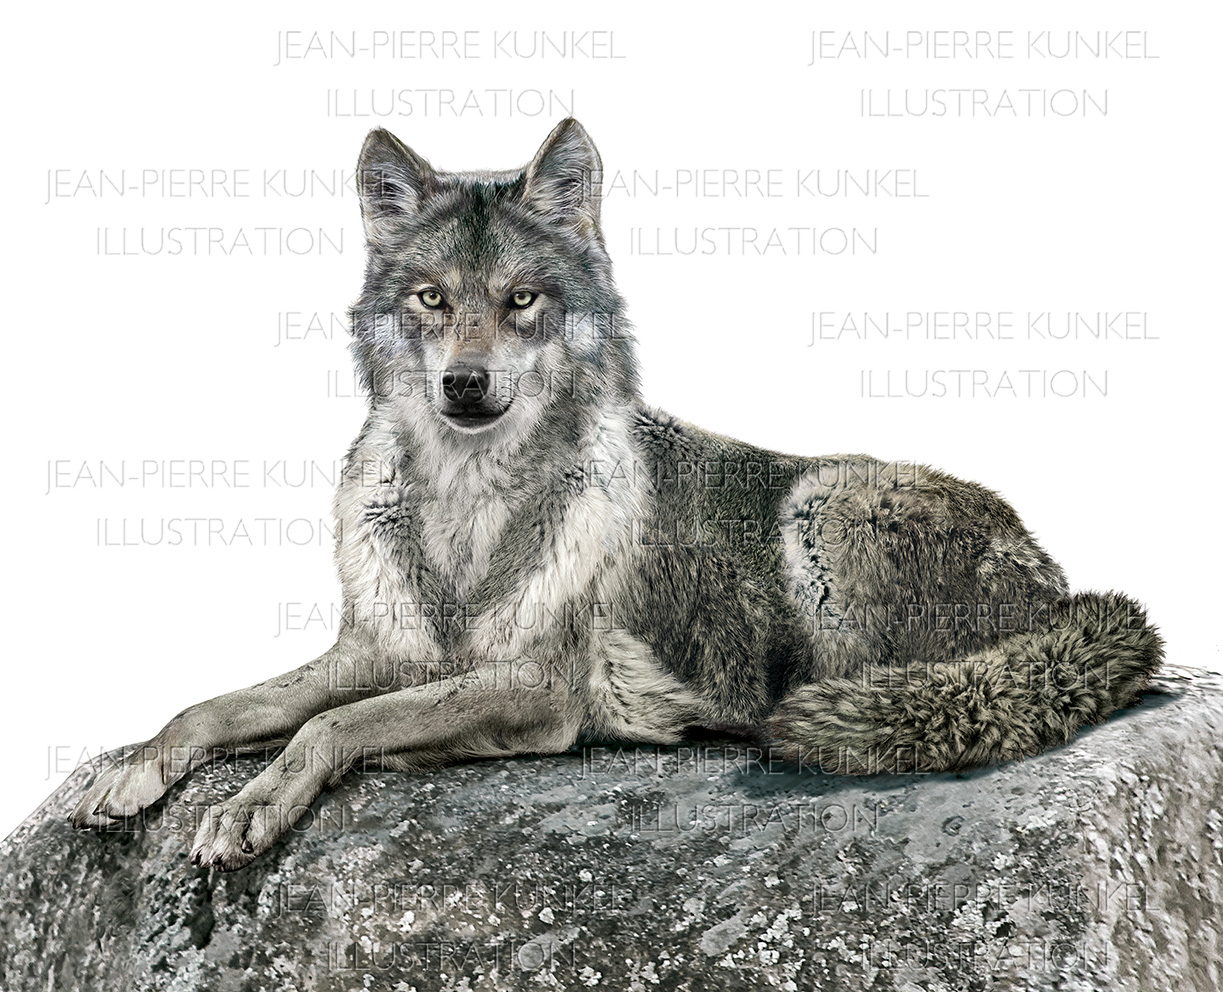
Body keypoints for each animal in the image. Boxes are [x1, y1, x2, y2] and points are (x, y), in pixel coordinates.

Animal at [70, 119, 1163, 870]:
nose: (465, 385)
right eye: (431, 298)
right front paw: (133, 766)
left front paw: (251, 804)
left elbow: (332, 726)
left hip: (818, 508)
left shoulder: (533, 687)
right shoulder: (374, 653)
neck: (467, 508)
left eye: (521, 300)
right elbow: (223, 706)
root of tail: (1062, 585)